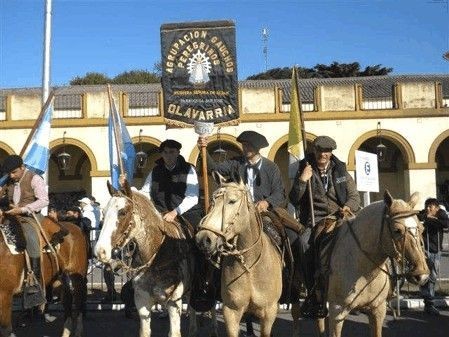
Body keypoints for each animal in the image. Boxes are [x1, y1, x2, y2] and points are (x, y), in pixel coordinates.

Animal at [94, 181, 217, 336]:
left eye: (122, 212)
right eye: (103, 212)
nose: (100, 251)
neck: (158, 254)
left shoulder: (173, 303)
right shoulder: (142, 302)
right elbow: (145, 331)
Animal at [194, 172, 282, 336]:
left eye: (232, 201)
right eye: (212, 202)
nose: (203, 239)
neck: (251, 267)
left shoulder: (269, 312)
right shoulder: (231, 311)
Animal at [324, 189, 428, 336]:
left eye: (421, 228)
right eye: (397, 230)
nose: (422, 275)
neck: (363, 270)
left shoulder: (378, 310)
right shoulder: (337, 311)